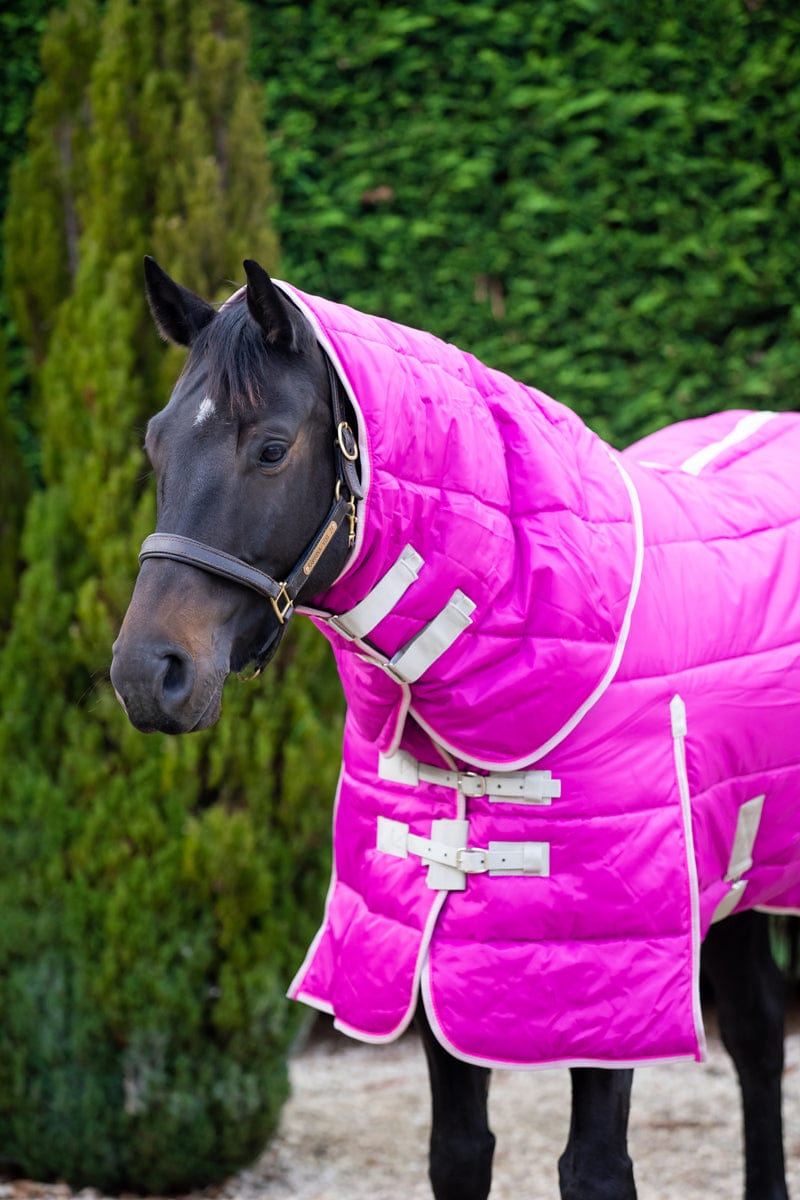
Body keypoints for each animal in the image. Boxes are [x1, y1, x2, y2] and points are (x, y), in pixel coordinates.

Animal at [111, 257, 798, 1200]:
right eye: (156, 444)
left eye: (272, 447)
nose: (149, 674)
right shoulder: (429, 954)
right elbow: (459, 1151)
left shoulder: (608, 983)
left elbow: (594, 1169)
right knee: (762, 1030)